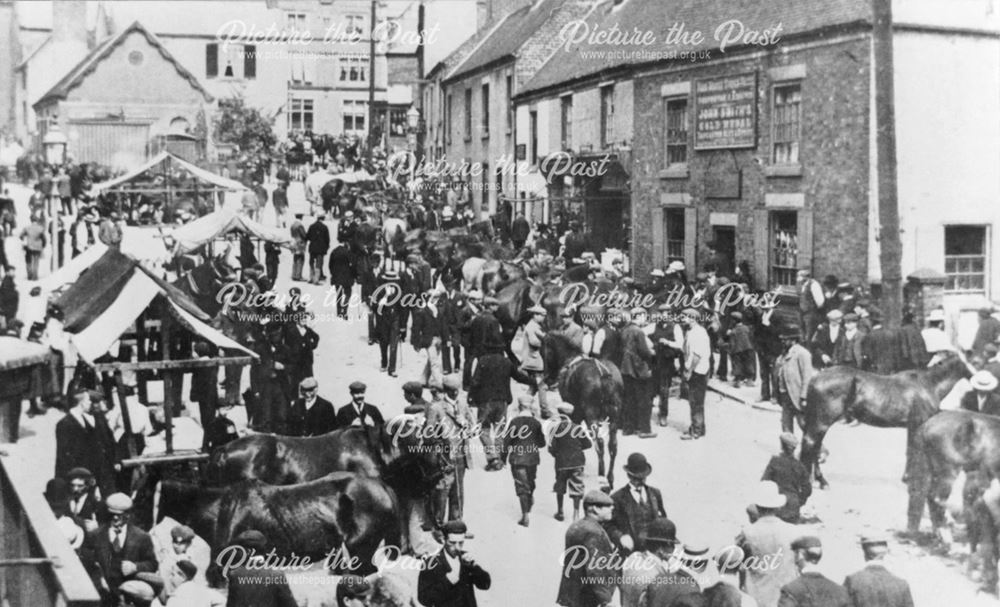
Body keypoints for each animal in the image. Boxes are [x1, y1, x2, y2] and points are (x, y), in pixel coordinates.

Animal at [544, 330, 620, 486]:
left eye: (544, 351)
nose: (548, 379)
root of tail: (604, 374)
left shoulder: (576, 413)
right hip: (614, 416)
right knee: (613, 446)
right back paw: (610, 478)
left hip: (591, 417)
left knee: (600, 444)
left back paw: (601, 475)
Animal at [800, 352, 972, 490]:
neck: (928, 384)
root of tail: (815, 377)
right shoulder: (918, 424)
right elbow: (913, 452)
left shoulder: (912, 426)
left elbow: (910, 450)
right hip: (822, 421)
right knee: (811, 444)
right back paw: (818, 481)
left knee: (814, 446)